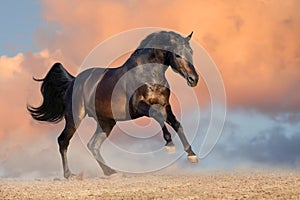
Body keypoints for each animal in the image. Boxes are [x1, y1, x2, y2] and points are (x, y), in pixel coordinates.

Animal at [28, 30, 200, 179]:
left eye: (191, 52)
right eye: (177, 54)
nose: (194, 79)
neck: (148, 73)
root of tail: (73, 81)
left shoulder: (165, 105)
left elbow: (176, 123)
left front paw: (192, 155)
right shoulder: (139, 106)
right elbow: (158, 116)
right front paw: (169, 144)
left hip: (106, 122)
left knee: (93, 145)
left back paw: (111, 172)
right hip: (75, 117)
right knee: (63, 141)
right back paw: (70, 175)